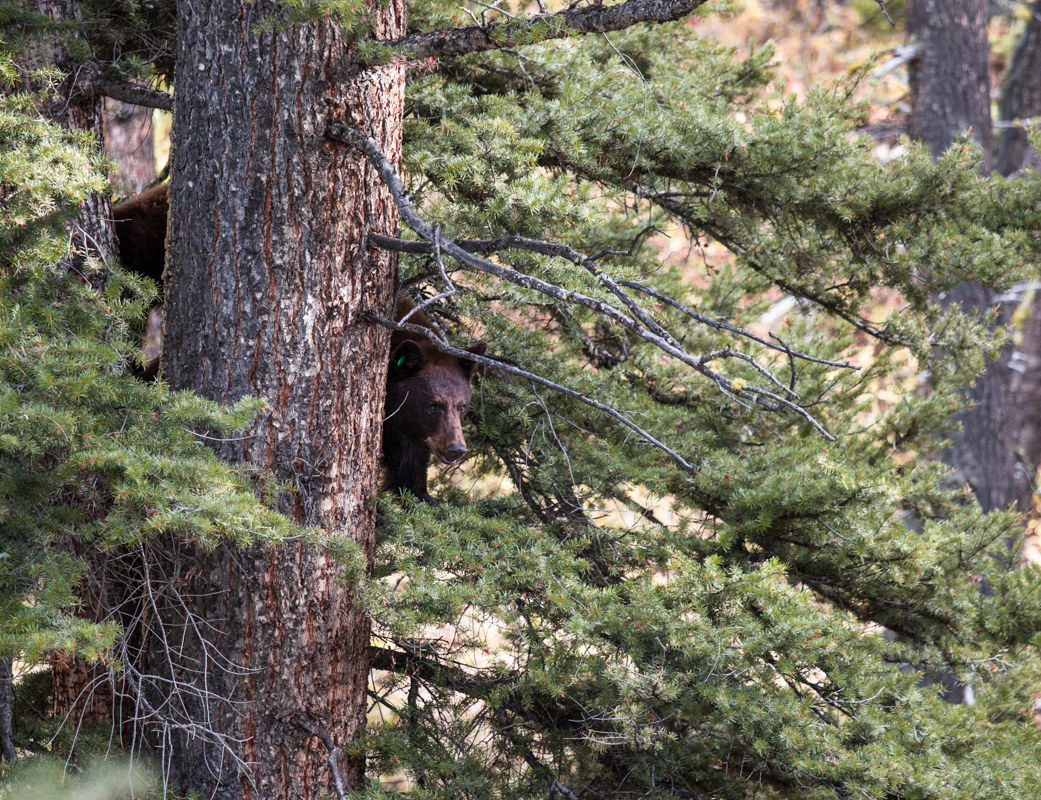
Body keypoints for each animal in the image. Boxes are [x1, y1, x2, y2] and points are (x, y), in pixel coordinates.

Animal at [111, 183, 484, 502]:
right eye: (434, 405)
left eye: (463, 406)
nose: (457, 449)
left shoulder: (401, 424)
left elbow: (408, 462)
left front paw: (422, 497)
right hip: (141, 256)